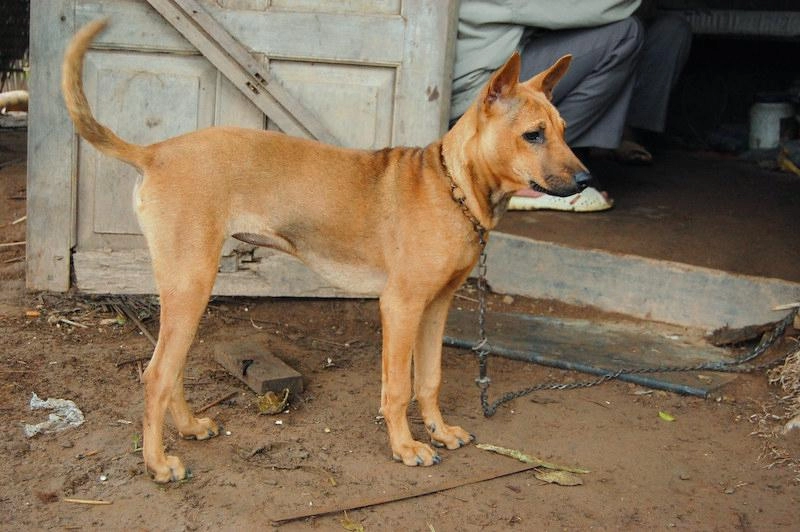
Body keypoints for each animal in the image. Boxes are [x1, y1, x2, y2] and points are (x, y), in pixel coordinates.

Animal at [61, 18, 588, 482]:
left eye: (564, 130)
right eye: (533, 134)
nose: (586, 179)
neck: (451, 187)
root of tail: (155, 153)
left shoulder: (436, 307)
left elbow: (429, 380)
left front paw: (438, 431)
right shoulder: (400, 307)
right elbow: (398, 387)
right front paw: (405, 446)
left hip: (187, 293)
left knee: (169, 372)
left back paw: (189, 427)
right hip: (192, 285)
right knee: (154, 377)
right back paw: (157, 464)